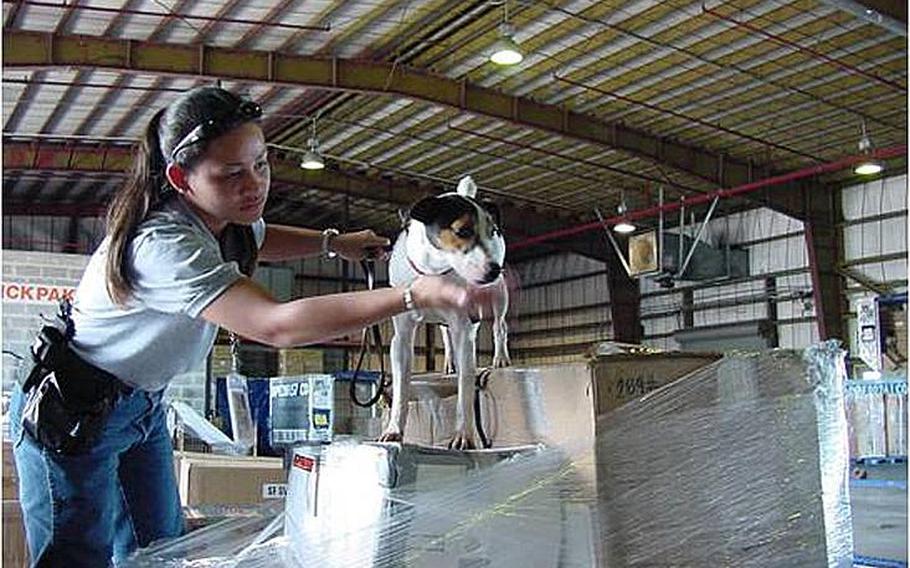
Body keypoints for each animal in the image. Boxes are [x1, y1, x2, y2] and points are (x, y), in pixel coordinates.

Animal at [378, 175, 512, 450]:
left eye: (492, 231)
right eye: (462, 231)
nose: (495, 269)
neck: (434, 271)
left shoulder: (463, 328)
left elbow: (465, 387)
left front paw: (464, 435)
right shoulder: (402, 336)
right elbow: (401, 389)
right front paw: (393, 430)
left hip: (499, 296)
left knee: (499, 327)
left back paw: (500, 358)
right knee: (447, 336)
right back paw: (449, 364)